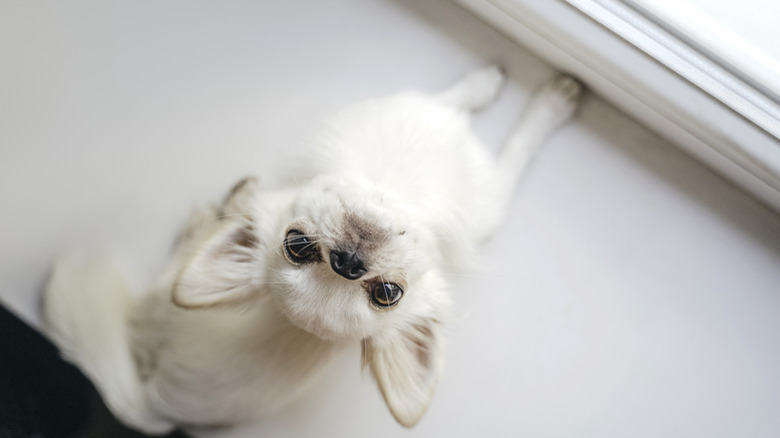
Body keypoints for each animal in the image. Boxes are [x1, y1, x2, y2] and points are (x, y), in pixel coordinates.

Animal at [41, 66, 580, 434]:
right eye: (297, 246)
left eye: (386, 293)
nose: (348, 262)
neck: (388, 183)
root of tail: (155, 404)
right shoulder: (473, 166)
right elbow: (500, 129)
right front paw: (523, 90)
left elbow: (489, 125)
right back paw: (222, 208)